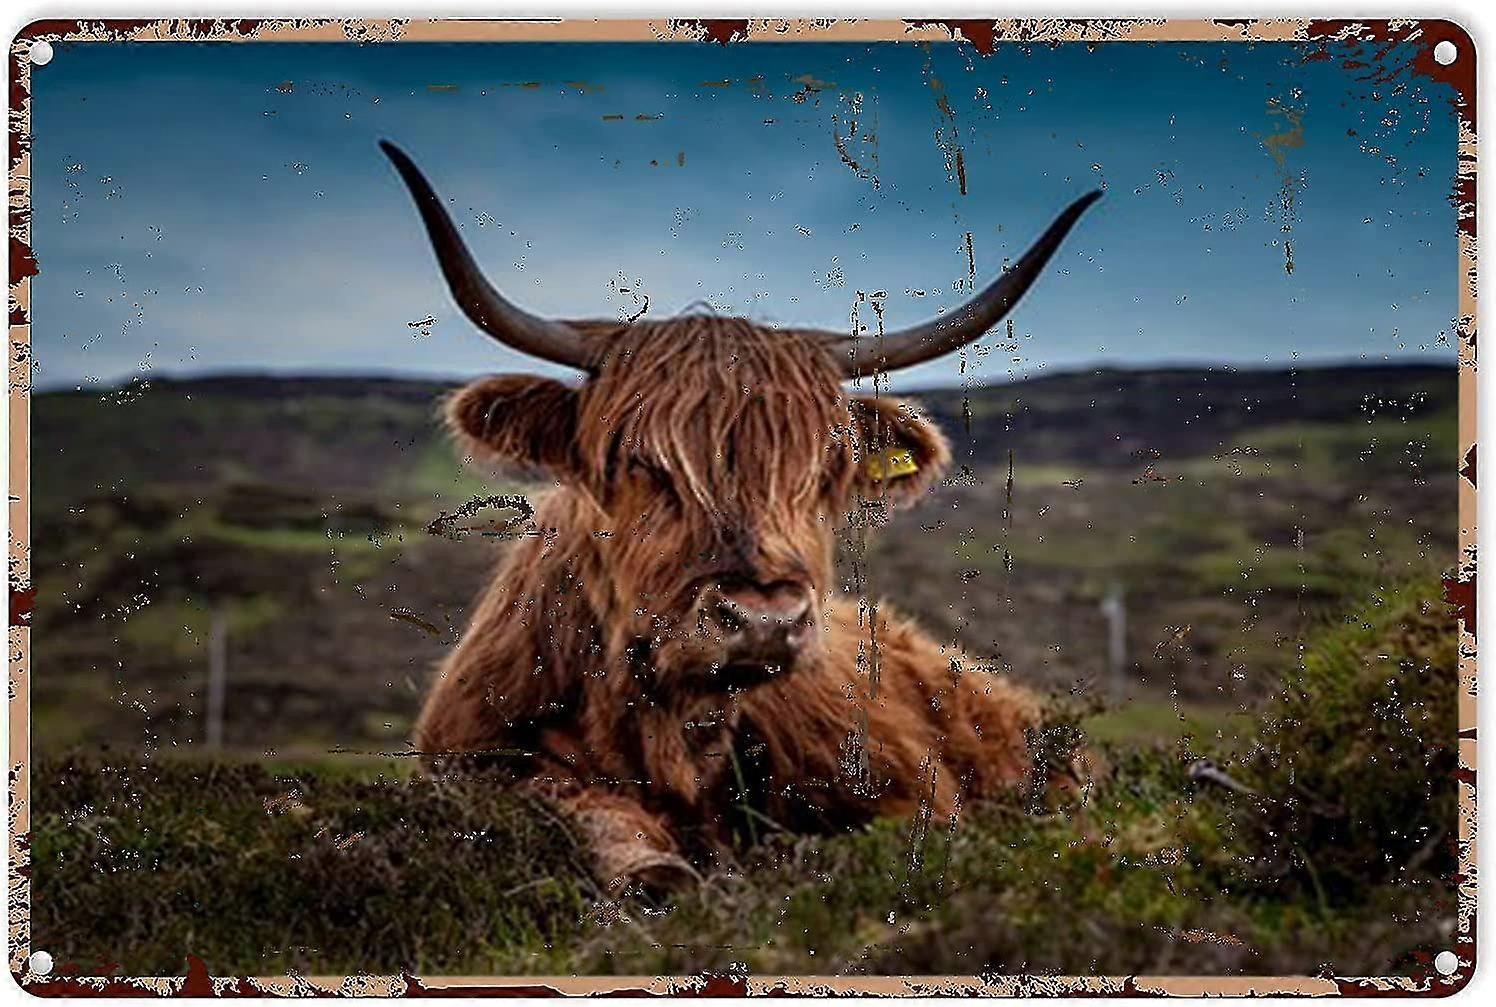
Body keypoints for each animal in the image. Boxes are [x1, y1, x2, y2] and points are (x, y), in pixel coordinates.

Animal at [381, 140, 1101, 894]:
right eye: (640, 461)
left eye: (825, 468)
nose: (764, 618)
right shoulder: (474, 758)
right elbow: (570, 800)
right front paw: (652, 868)